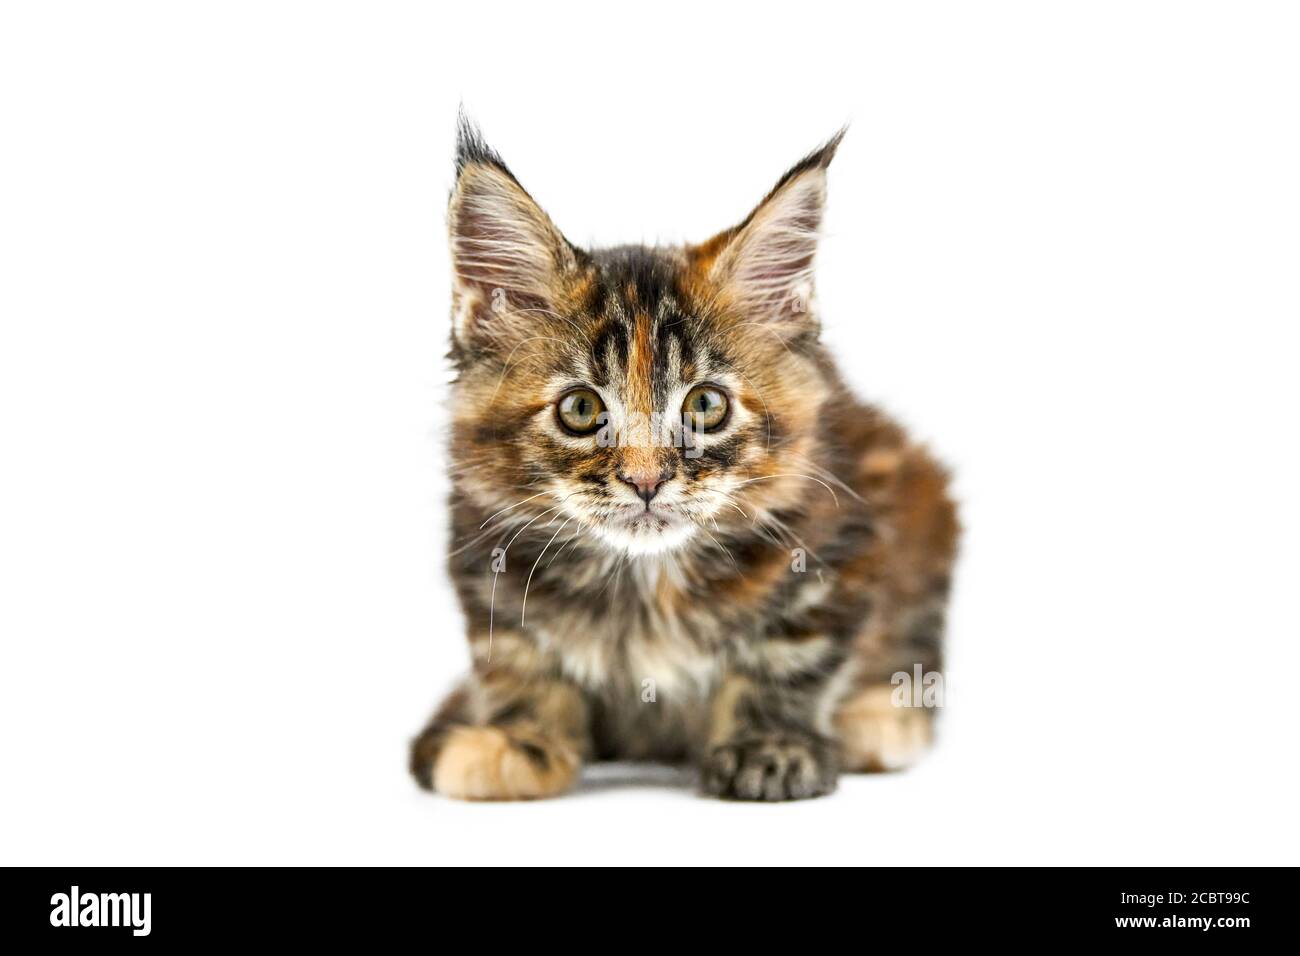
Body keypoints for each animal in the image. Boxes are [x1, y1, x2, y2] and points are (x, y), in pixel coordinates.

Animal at [410, 117, 961, 801]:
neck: (645, 581)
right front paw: (522, 741)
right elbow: (520, 661)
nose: (646, 480)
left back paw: (876, 721)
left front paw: (768, 747)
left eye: (705, 405)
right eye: (581, 410)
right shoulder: (484, 553)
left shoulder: (842, 542)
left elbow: (790, 658)